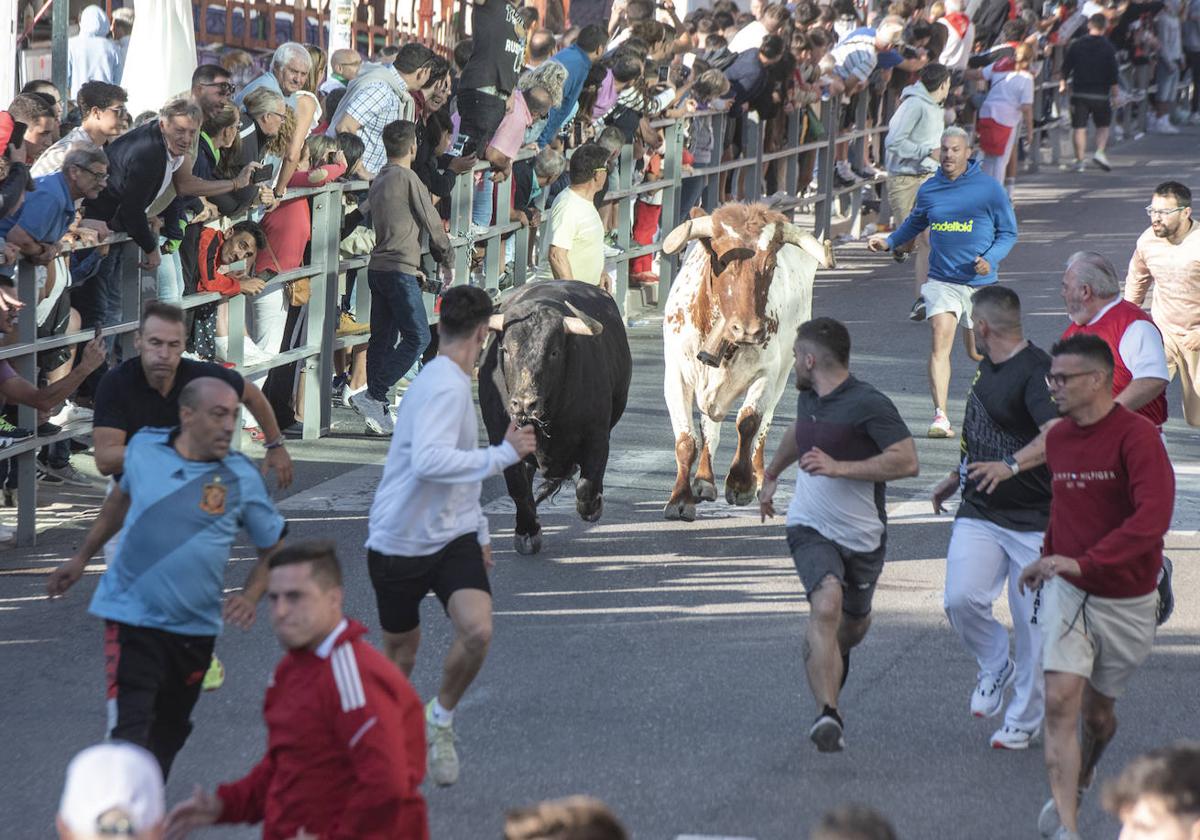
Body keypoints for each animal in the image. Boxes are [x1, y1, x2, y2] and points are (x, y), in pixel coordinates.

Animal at [475, 282, 633, 554]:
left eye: (554, 353)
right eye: (505, 350)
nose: (524, 404)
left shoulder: (597, 436)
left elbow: (587, 485)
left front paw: (592, 508)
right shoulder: (500, 436)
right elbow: (517, 487)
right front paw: (528, 531)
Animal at [662, 204, 830, 518]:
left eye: (771, 265)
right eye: (720, 260)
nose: (748, 330)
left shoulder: (767, 373)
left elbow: (749, 422)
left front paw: (741, 484)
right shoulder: (676, 376)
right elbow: (686, 440)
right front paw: (680, 498)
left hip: (783, 375)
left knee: (764, 424)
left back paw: (760, 475)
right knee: (710, 427)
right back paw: (704, 480)